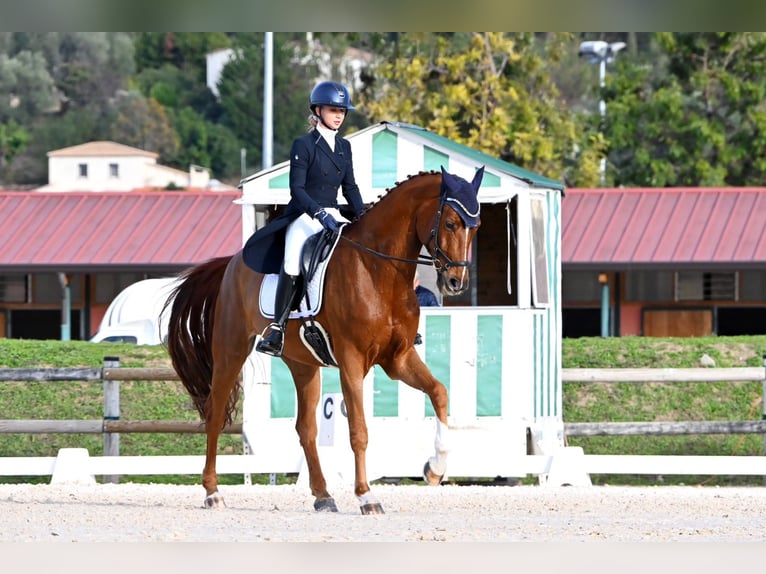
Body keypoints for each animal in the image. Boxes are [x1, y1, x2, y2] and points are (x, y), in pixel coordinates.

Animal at [163, 166, 484, 515]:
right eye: (450, 223)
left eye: (475, 227)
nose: (456, 282)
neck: (379, 270)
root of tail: (232, 262)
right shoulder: (352, 361)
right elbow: (358, 430)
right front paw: (366, 496)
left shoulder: (397, 359)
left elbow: (439, 392)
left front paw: (435, 468)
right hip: (230, 351)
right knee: (215, 413)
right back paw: (212, 492)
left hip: (302, 364)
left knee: (306, 428)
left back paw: (323, 495)